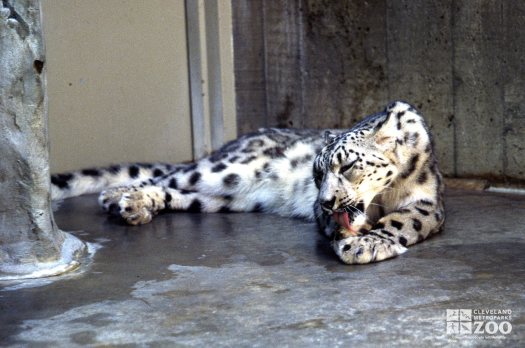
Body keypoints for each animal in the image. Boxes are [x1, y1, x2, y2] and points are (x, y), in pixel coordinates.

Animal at [50, 100, 442, 264]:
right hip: (224, 170)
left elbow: (406, 220)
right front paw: (352, 237)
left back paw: (133, 205)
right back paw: (120, 195)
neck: (382, 198)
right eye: (316, 175)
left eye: (347, 167)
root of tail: (234, 142)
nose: (326, 201)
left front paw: (368, 242)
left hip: (228, 198)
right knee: (167, 174)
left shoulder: (427, 202)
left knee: (181, 192)